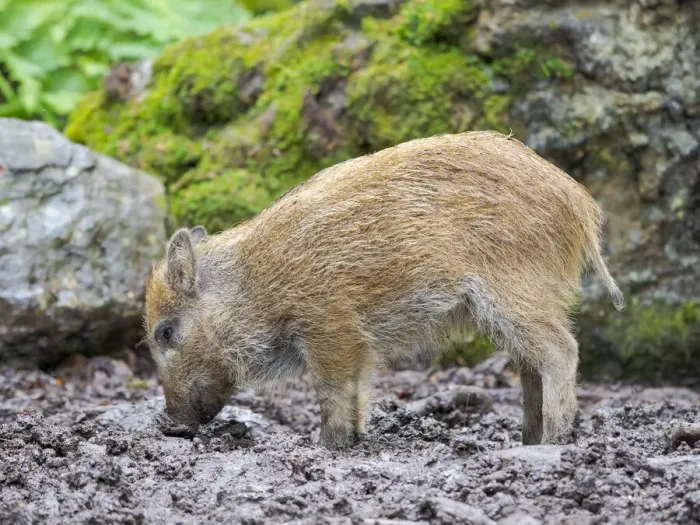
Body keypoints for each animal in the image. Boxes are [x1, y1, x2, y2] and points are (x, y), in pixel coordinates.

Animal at [144, 130, 624, 449]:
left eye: (166, 332)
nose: (172, 424)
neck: (257, 285)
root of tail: (580, 204)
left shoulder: (331, 327)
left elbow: (332, 390)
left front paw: (329, 447)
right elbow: (358, 390)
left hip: (515, 291)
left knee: (561, 351)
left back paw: (553, 442)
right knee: (530, 365)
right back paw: (528, 439)